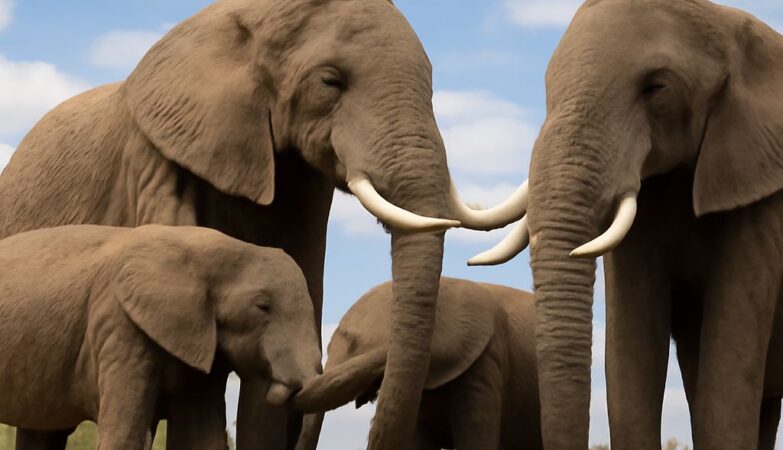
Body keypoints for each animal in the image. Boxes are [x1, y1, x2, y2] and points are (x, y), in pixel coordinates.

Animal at [470, 0, 783, 448]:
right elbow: (632, 343)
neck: (725, 22)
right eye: (547, 90)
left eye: (656, 88)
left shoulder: (761, 188)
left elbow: (729, 352)